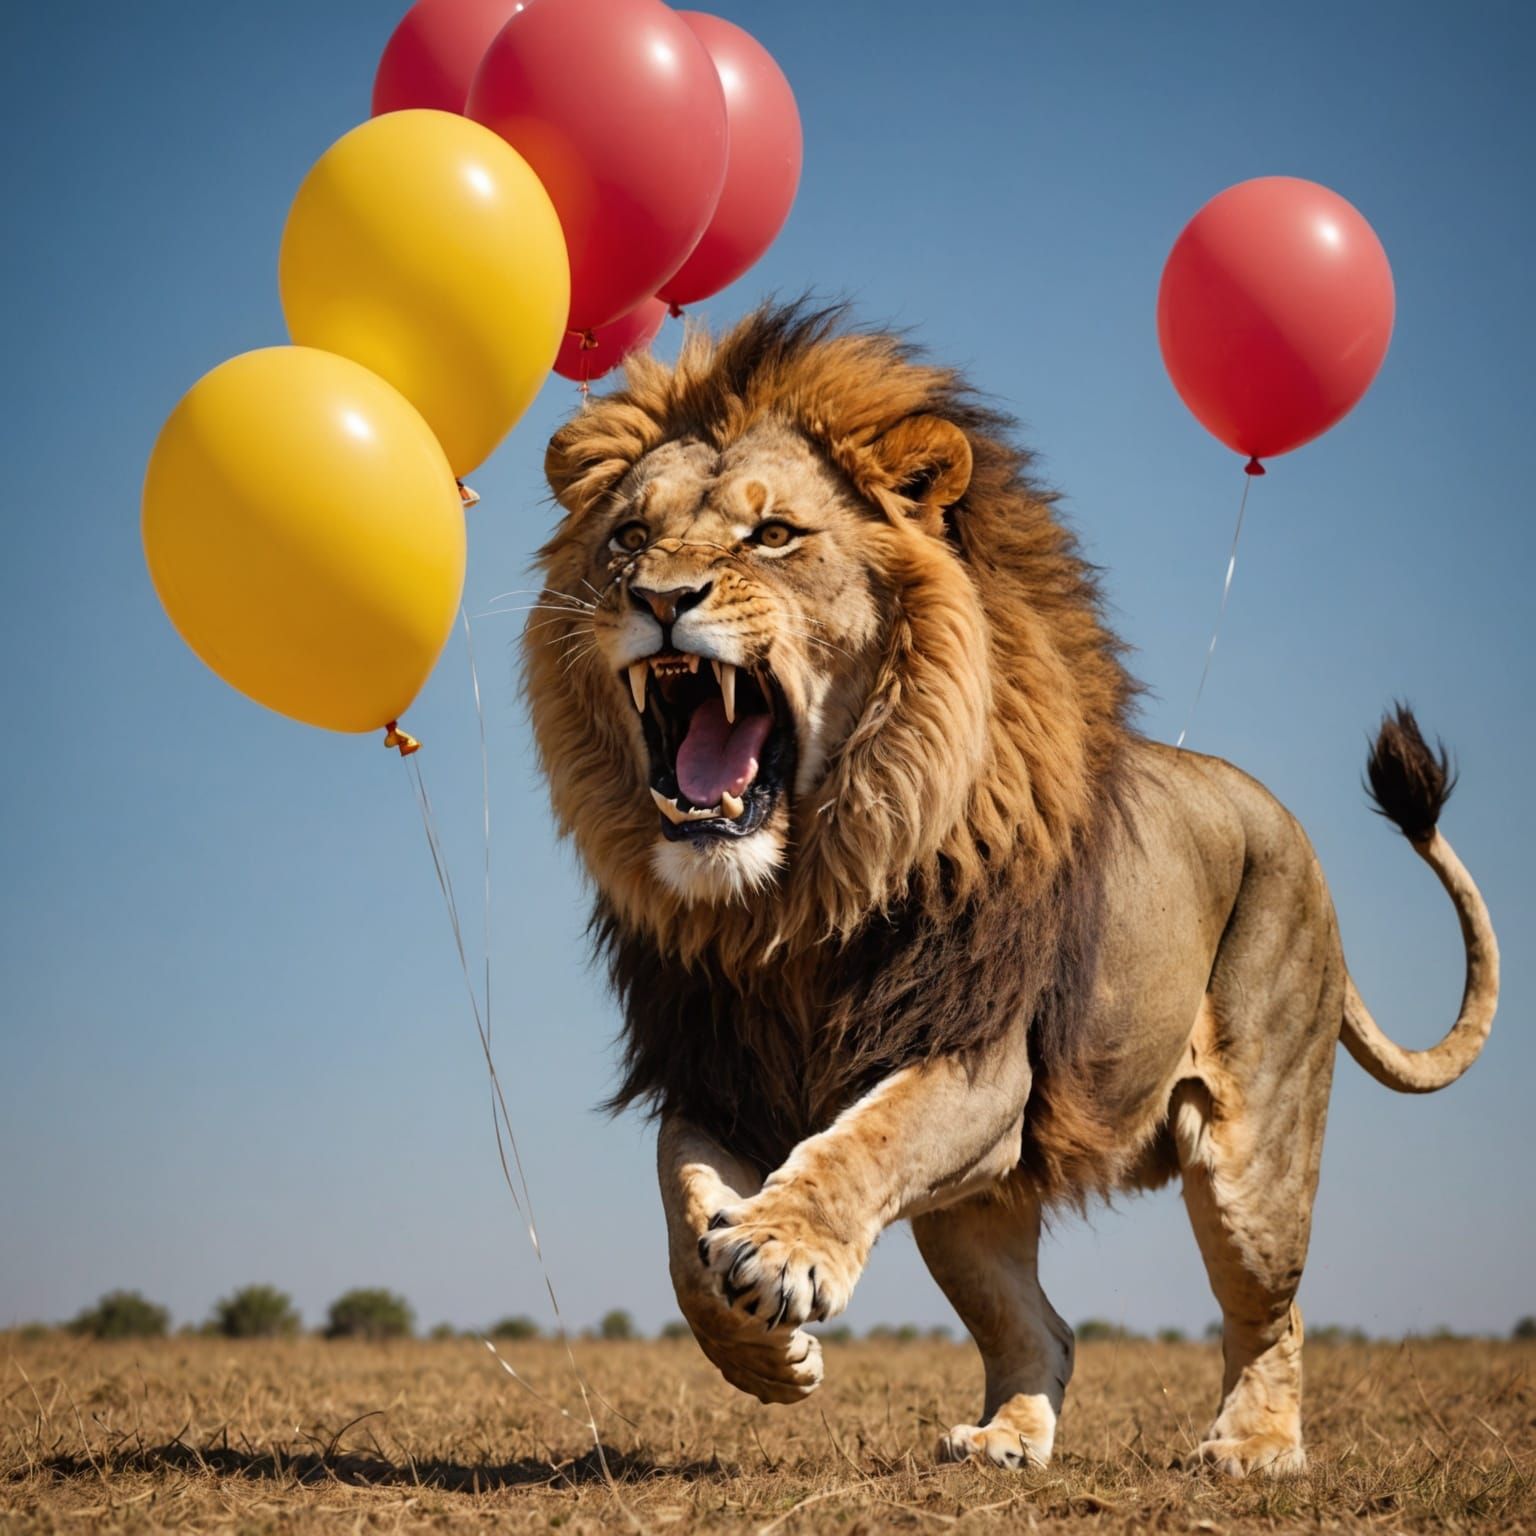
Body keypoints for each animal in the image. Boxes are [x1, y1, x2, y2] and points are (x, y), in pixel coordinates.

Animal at [523, 303, 1498, 1478]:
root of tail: (1279, 813)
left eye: (774, 536)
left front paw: (777, 1246)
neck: (794, 901)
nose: (659, 599)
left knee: (1274, 1309)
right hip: (977, 1206)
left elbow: (864, 1140)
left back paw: (1254, 1446)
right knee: (1046, 1327)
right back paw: (1005, 1439)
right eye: (628, 538)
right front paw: (760, 1343)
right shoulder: (717, 1074)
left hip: (1256, 1151)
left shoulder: (979, 1059)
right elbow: (679, 1210)